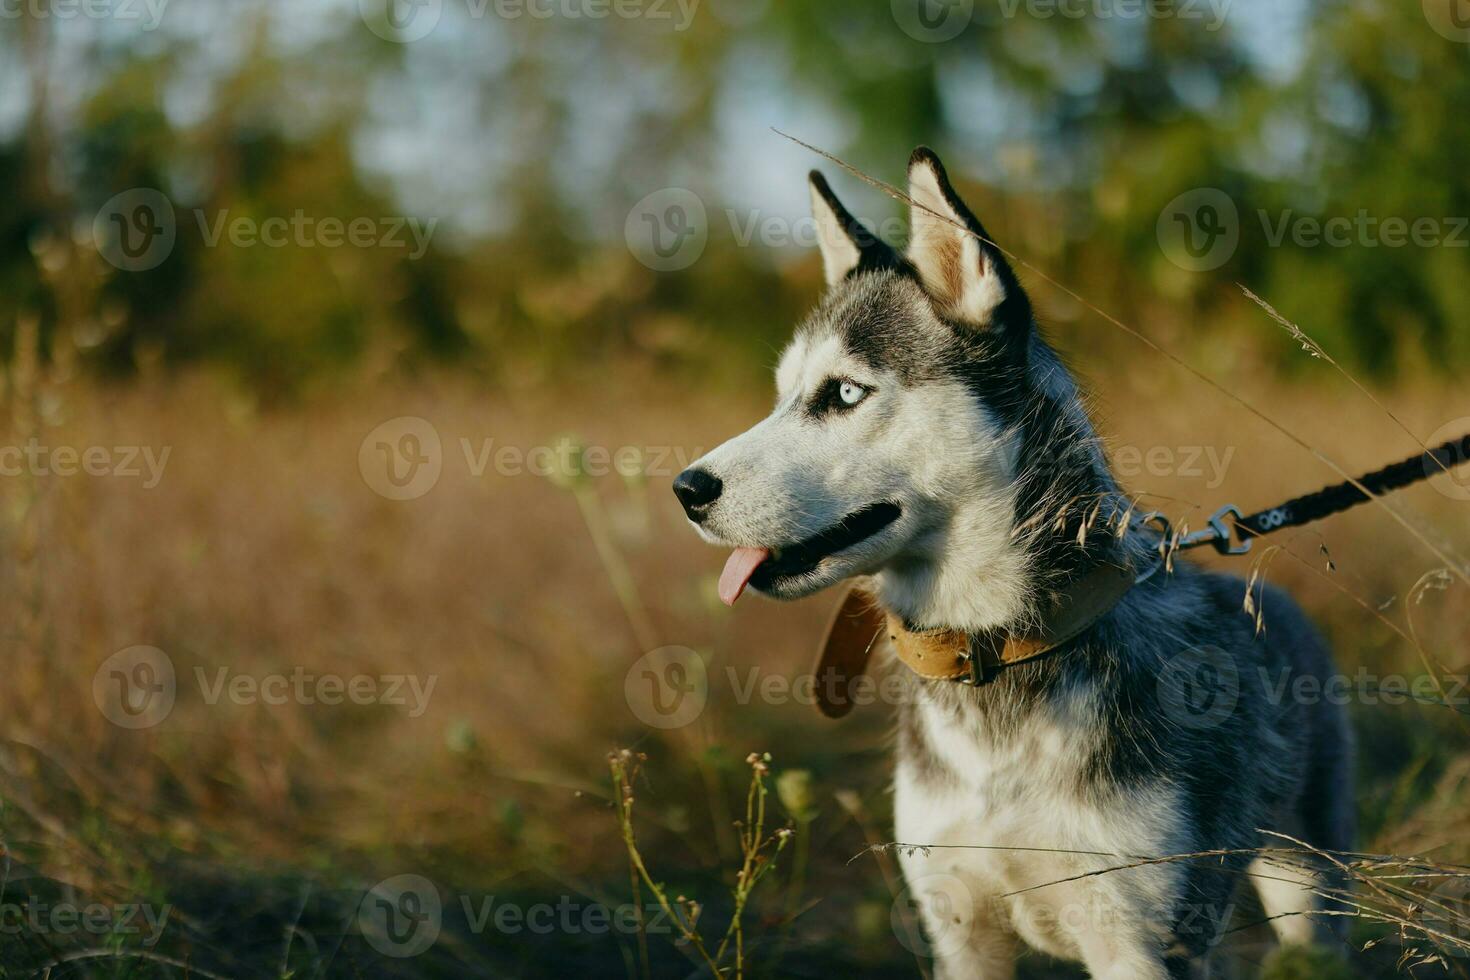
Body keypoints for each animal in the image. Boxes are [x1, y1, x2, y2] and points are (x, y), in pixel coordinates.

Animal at [673, 149, 1352, 975]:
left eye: (844, 393)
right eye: (780, 397)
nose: (686, 489)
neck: (998, 648)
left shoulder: (1140, 940)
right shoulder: (958, 930)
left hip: (1305, 888)